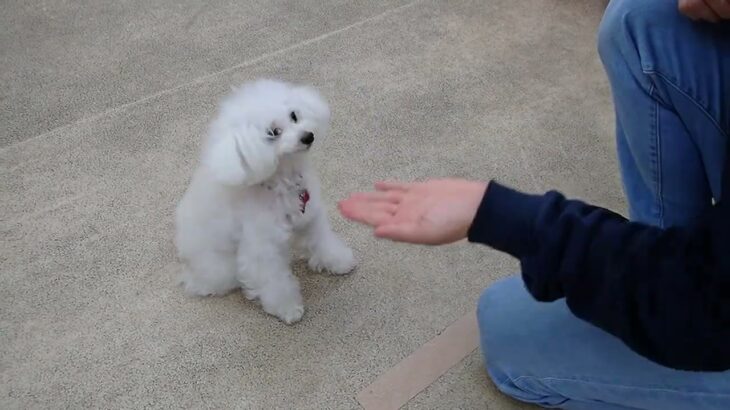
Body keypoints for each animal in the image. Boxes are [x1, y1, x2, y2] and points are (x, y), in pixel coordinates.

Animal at [174, 79, 356, 324]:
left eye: (294, 115)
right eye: (273, 132)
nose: (308, 136)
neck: (283, 182)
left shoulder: (310, 219)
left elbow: (323, 242)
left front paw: (338, 261)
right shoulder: (261, 246)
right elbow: (273, 280)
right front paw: (287, 308)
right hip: (220, 268)